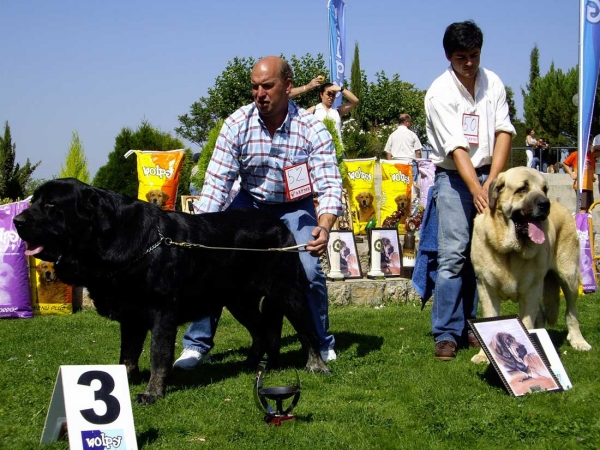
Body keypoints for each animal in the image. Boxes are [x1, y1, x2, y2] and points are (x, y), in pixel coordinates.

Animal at [12, 178, 328, 404]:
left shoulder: (162, 311)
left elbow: (158, 354)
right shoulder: (132, 317)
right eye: (34, 202)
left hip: (287, 291)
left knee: (307, 330)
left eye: (51, 205)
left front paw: (152, 392)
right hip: (239, 302)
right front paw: (125, 381)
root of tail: (279, 225)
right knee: (262, 331)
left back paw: (317, 365)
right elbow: (127, 355)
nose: (17, 221)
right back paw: (254, 363)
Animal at [468, 167, 592, 364]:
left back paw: (578, 341)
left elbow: (525, 322)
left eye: (544, 189)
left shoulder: (531, 291)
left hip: (569, 277)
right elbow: (490, 317)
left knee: (571, 312)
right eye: (522, 189)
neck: (510, 251)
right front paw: (483, 355)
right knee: (541, 314)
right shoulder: (486, 288)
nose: (545, 204)